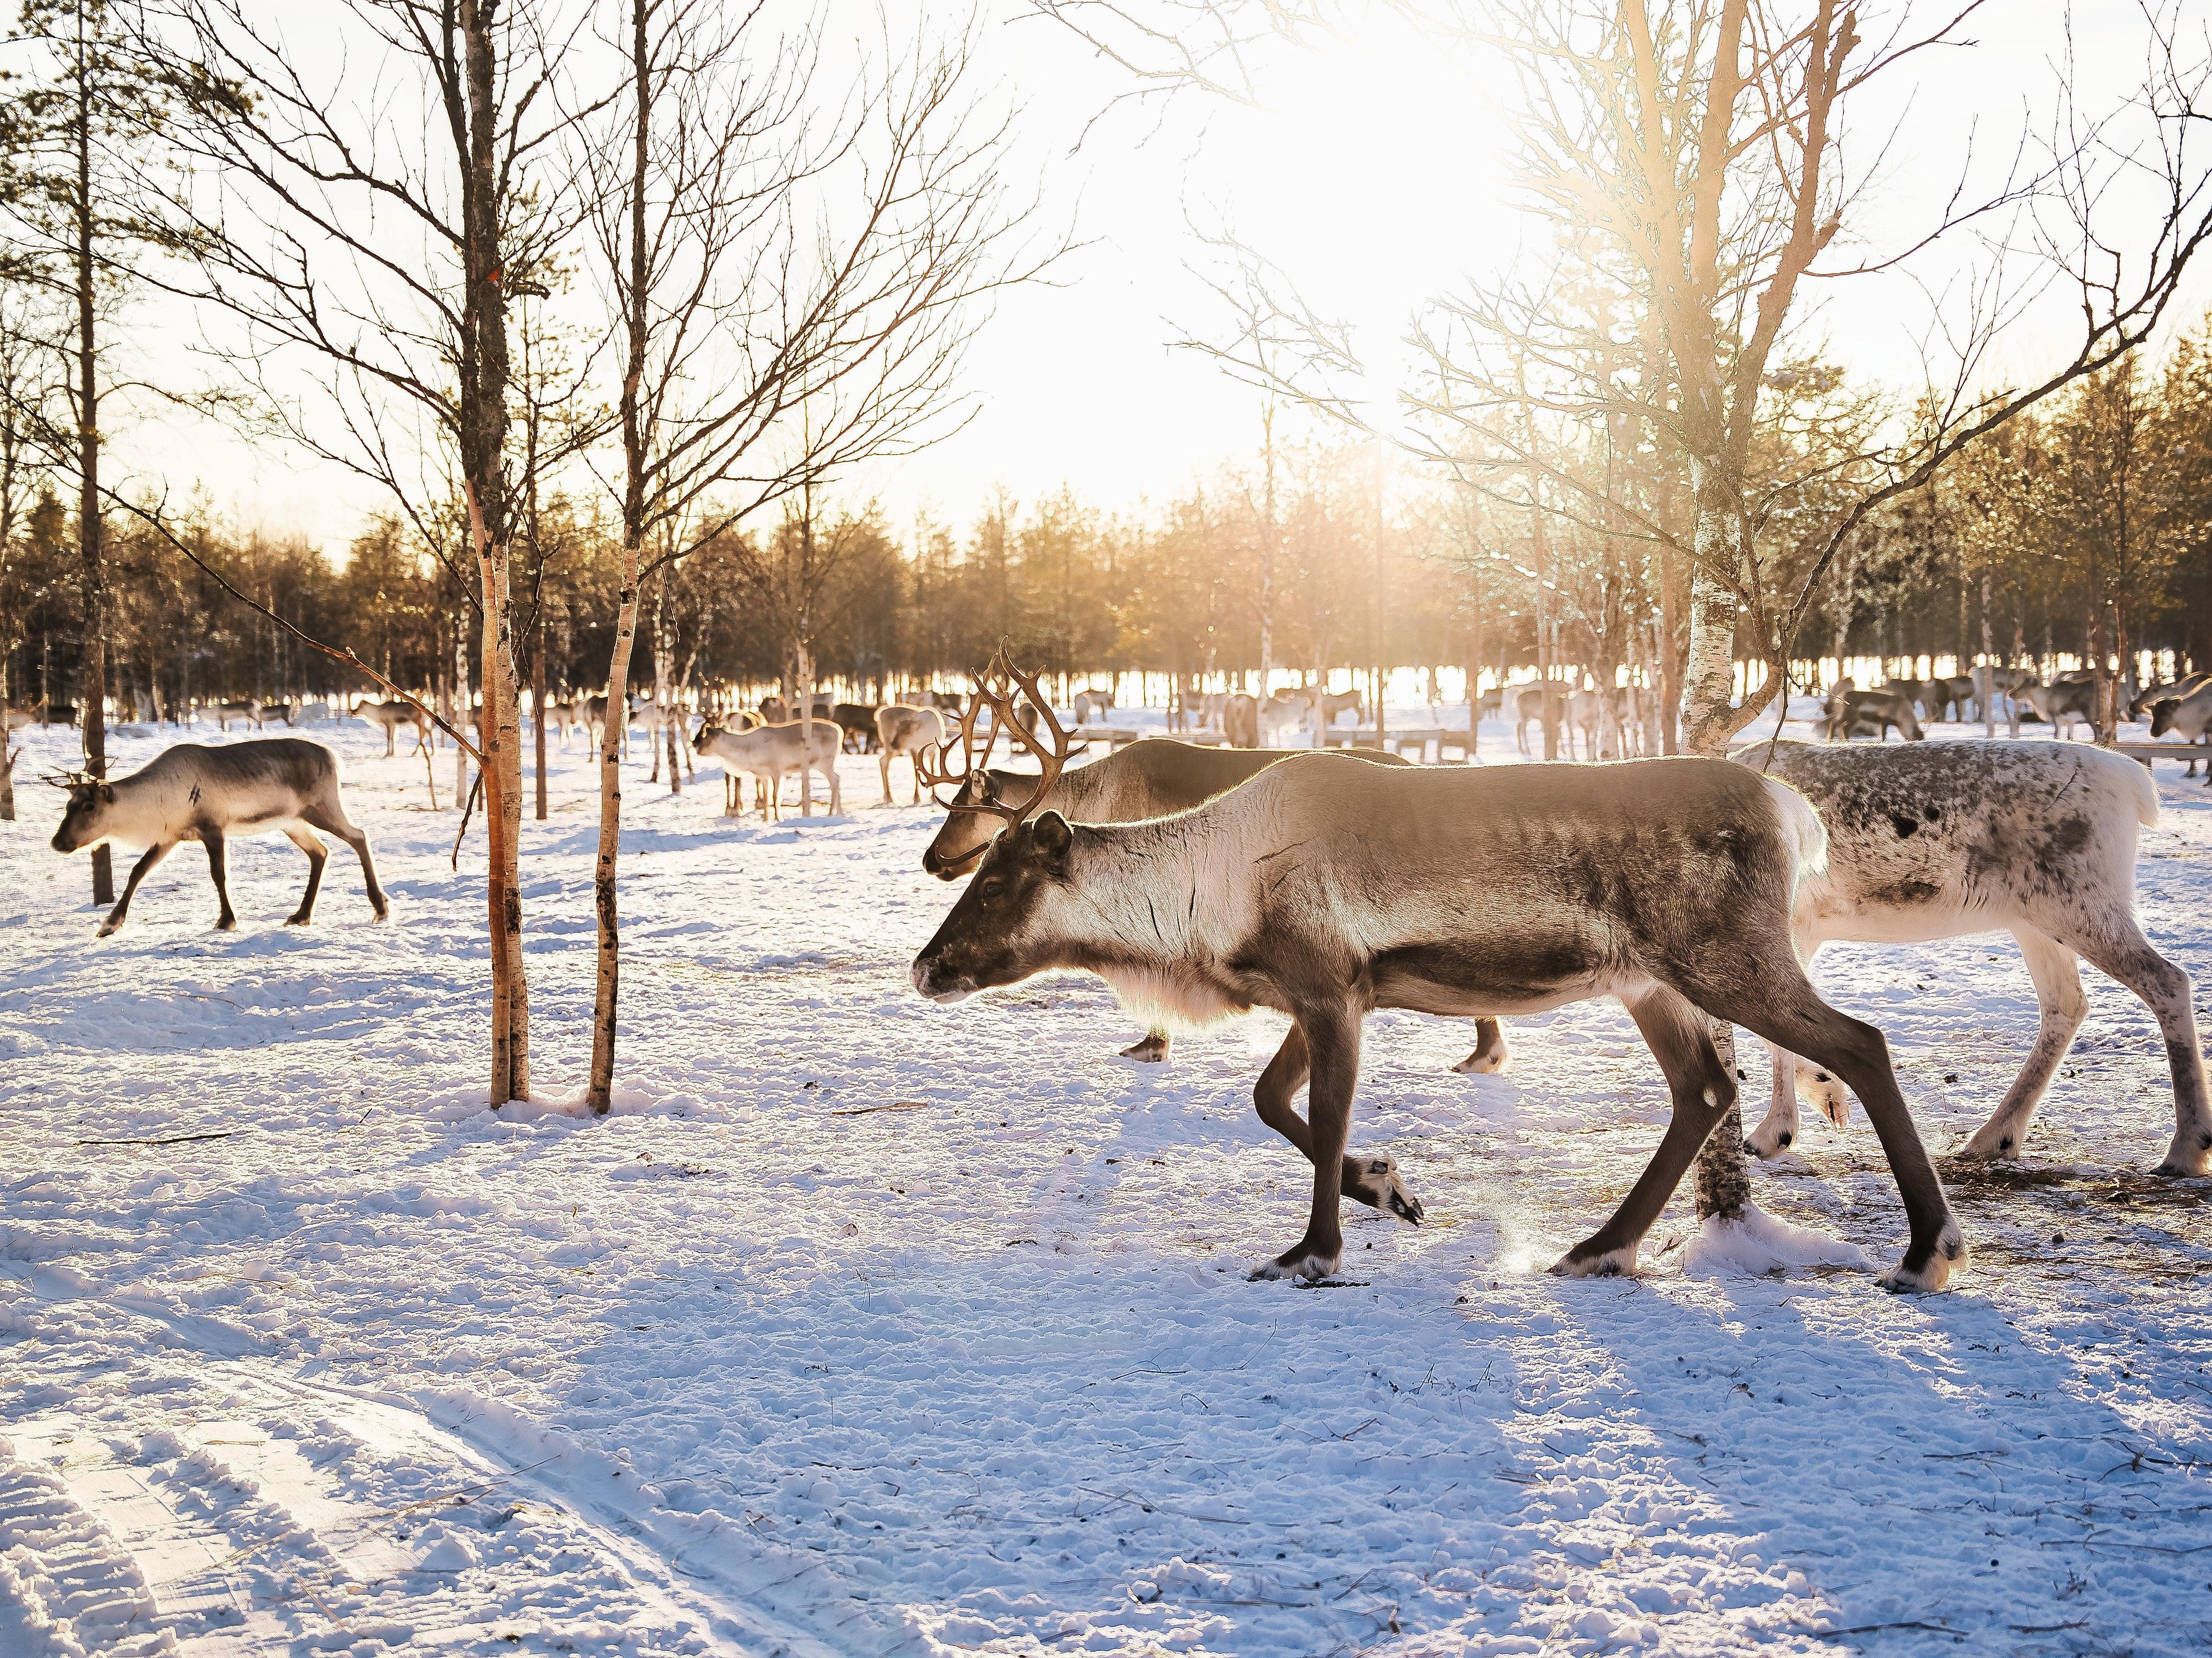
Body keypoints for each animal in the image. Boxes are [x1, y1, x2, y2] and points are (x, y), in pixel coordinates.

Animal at [47, 738, 388, 936]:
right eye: (68, 805)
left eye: (90, 806)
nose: (57, 843)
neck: (157, 803)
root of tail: (334, 757)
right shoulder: (169, 838)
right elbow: (137, 872)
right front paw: (110, 924)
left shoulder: (213, 829)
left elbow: (219, 875)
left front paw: (226, 921)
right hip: (292, 822)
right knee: (320, 852)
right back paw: (301, 915)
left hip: (322, 807)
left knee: (359, 836)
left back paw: (380, 906)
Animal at [909, 650, 1964, 1291]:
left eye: (1000, 879)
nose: (925, 968)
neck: (1214, 891)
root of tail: (1793, 809)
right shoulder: (1328, 993)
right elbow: (1269, 1100)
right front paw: (1390, 1189)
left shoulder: (1331, 989)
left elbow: (1320, 1112)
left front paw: (1316, 1249)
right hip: (1651, 981)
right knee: (1703, 1088)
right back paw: (1599, 1246)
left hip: (1725, 959)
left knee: (1859, 1043)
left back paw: (1926, 1251)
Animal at [1738, 739, 2211, 1177]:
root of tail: (2134, 783)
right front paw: (1826, 1093)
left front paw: (1775, 1133)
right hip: (2035, 921)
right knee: (2067, 1003)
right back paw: (1996, 1137)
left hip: (2079, 905)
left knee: (2166, 980)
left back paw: (2186, 1148)